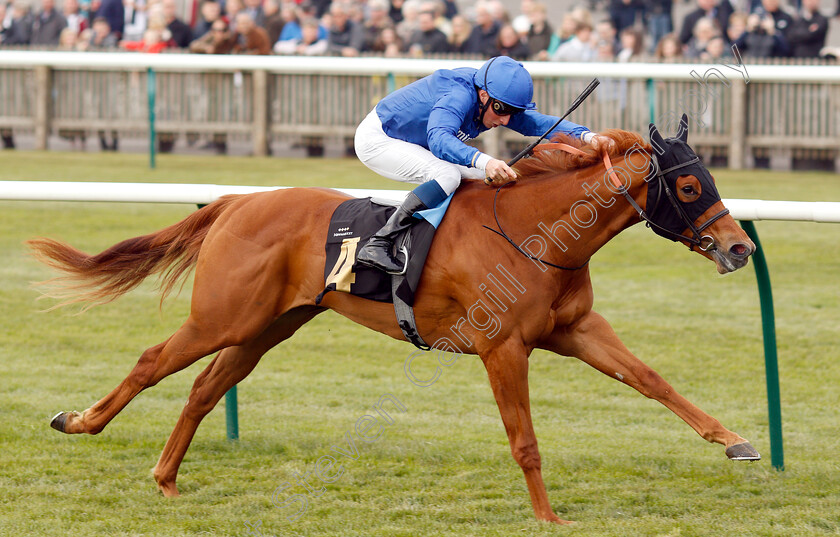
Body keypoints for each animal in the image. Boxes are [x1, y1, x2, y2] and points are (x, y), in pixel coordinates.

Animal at [29, 118, 756, 524]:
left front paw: (735, 441)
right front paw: (549, 515)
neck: (536, 231)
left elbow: (653, 379)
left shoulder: (575, 330)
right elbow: (525, 439)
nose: (739, 247)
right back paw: (80, 421)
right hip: (223, 316)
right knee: (153, 360)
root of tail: (235, 201)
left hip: (267, 326)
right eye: (689, 186)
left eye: (713, 179)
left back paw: (166, 479)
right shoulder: (505, 347)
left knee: (207, 387)